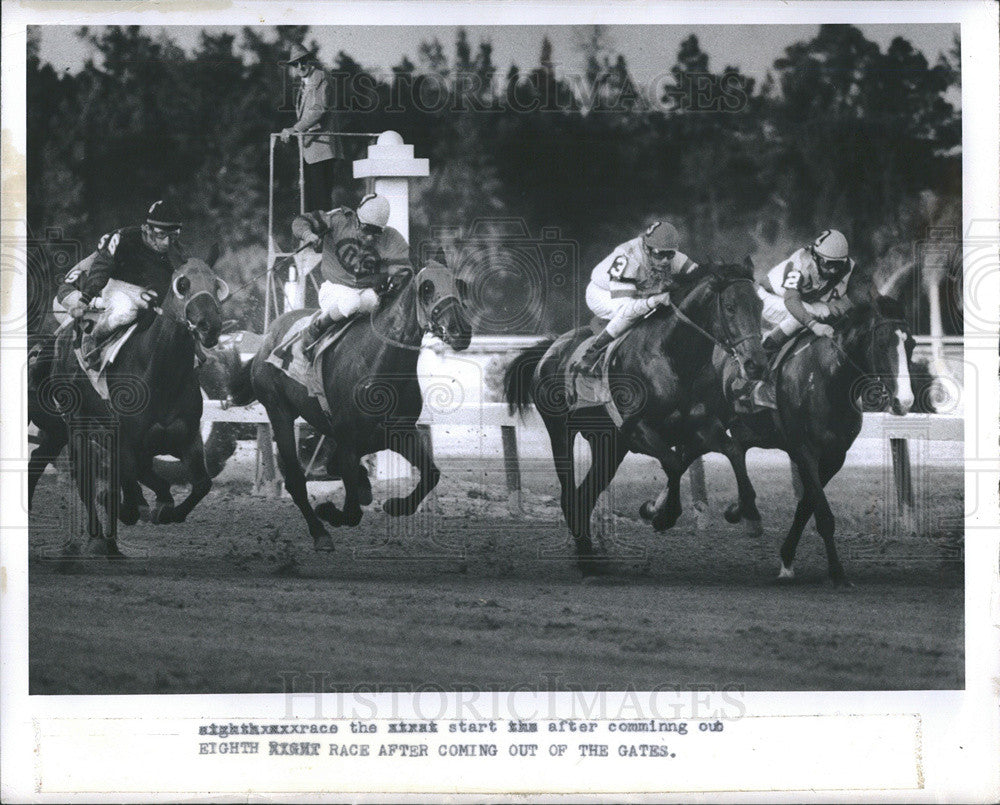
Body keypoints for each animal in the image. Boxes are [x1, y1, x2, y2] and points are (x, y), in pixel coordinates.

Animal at [29, 254, 230, 556]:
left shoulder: (187, 437)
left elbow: (201, 484)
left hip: (58, 431)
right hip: (75, 425)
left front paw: (166, 510)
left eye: (216, 285)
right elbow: (134, 482)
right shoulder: (125, 440)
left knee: (38, 458)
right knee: (84, 477)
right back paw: (99, 538)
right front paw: (135, 507)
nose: (210, 325)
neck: (160, 375)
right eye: (183, 284)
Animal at [230, 260, 472, 548]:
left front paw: (394, 505)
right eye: (427, 288)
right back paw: (320, 533)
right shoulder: (349, 439)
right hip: (279, 412)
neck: (379, 363)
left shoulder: (398, 432)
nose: (461, 331)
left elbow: (431, 473)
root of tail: (267, 339)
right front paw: (330, 511)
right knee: (296, 481)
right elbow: (353, 511)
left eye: (458, 284)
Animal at [504, 260, 768, 572]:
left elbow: (731, 450)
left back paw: (589, 553)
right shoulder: (636, 430)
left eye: (760, 305)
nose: (756, 364)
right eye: (729, 306)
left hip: (608, 444)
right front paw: (662, 514)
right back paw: (586, 558)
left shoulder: (700, 427)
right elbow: (674, 463)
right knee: (570, 495)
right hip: (561, 433)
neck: (673, 356)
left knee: (585, 495)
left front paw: (745, 510)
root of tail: (552, 347)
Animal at [716, 296, 916, 584]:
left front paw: (787, 559)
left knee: (737, 451)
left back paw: (744, 512)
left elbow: (806, 505)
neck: (827, 377)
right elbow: (823, 515)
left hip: (748, 431)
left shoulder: (835, 456)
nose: (905, 401)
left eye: (911, 344)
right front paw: (836, 573)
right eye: (881, 344)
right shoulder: (805, 450)